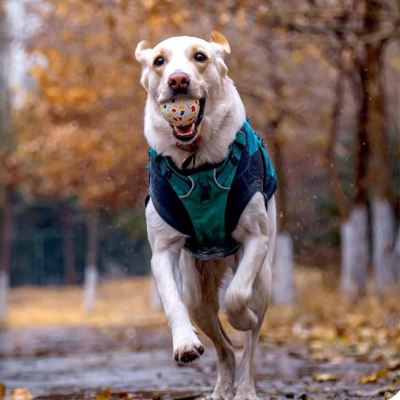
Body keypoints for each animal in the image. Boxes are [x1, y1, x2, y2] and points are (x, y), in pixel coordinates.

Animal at [136, 32, 276, 400]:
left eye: (200, 57)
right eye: (159, 61)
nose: (178, 80)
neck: (198, 165)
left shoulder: (256, 238)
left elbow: (237, 297)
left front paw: (242, 318)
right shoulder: (163, 249)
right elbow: (171, 299)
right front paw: (185, 345)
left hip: (265, 278)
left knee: (250, 344)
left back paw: (245, 388)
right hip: (197, 291)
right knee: (223, 345)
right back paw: (221, 389)